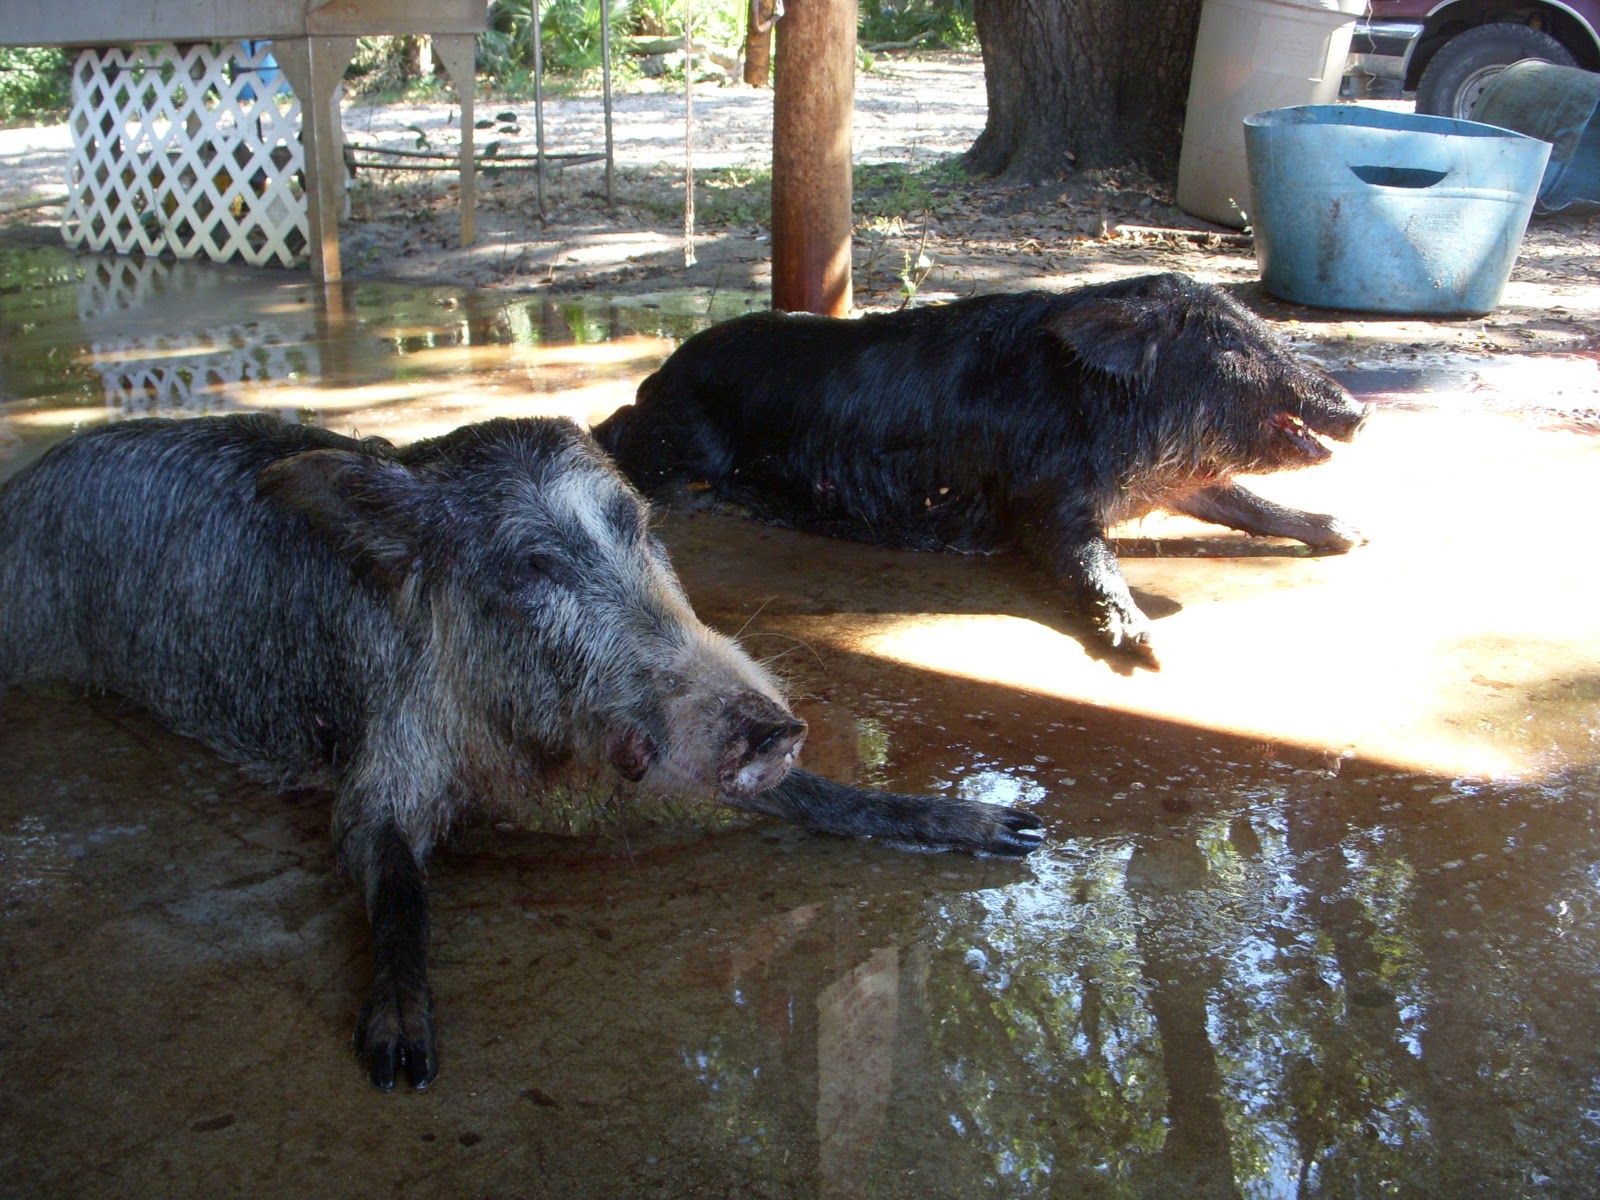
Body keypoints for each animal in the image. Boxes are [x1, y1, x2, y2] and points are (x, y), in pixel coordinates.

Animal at [0, 414, 1044, 1090]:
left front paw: (1013, 830)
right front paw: (401, 1060)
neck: (521, 758)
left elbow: (823, 795)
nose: (771, 729)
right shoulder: (385, 755)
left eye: (643, 533)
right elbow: (394, 878)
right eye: (535, 569)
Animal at [592, 272, 1369, 667]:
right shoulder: (1041, 497)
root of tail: (661, 375)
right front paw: (1147, 646)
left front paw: (1349, 534)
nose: (1360, 411)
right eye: (1233, 344)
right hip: (677, 443)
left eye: (1264, 328)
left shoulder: (1174, 480)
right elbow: (1085, 558)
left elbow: (1240, 501)